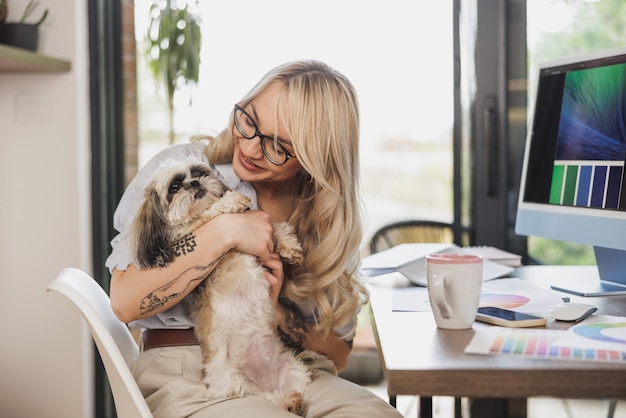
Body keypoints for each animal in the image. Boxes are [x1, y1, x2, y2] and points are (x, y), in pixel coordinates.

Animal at [129, 158, 310, 414]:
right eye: (174, 187)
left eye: (199, 173)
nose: (194, 183)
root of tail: (263, 379)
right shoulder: (186, 232)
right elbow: (209, 215)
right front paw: (231, 201)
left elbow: (274, 225)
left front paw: (288, 246)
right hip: (235, 384)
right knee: (261, 397)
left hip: (293, 367)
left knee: (281, 391)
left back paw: (291, 400)